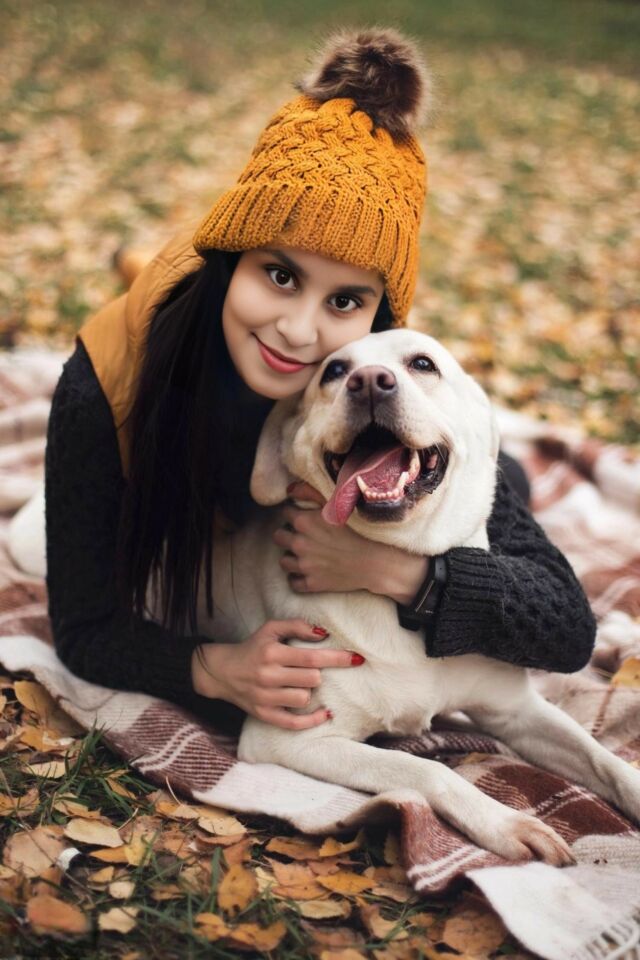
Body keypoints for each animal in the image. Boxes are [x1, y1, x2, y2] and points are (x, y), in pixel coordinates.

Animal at [198, 328, 640, 864]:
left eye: (423, 364)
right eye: (333, 372)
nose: (370, 381)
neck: (399, 601)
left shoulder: (517, 710)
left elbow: (604, 759)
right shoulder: (287, 739)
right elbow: (426, 769)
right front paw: (504, 822)